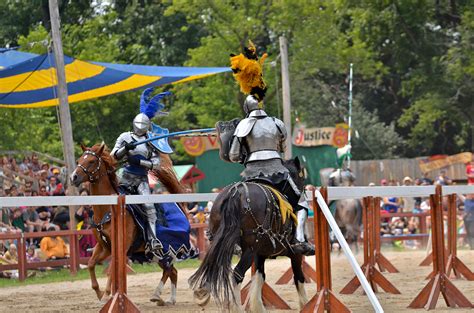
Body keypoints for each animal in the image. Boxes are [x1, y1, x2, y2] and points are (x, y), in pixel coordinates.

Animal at [70, 143, 187, 304]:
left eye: (92, 161)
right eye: (79, 160)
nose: (73, 177)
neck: (107, 209)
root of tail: (179, 206)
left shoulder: (120, 246)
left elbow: (112, 269)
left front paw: (106, 295)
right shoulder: (103, 246)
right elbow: (91, 264)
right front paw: (99, 293)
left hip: (166, 251)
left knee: (170, 270)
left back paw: (158, 295)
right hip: (156, 255)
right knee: (172, 271)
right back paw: (166, 298)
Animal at [191, 157, 310, 310]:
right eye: (301, 177)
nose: (303, 198)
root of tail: (235, 193)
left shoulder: (260, 255)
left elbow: (259, 278)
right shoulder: (294, 255)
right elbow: (299, 278)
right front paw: (306, 305)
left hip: (221, 243)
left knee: (214, 265)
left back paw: (203, 292)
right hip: (249, 250)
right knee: (237, 274)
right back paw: (235, 307)